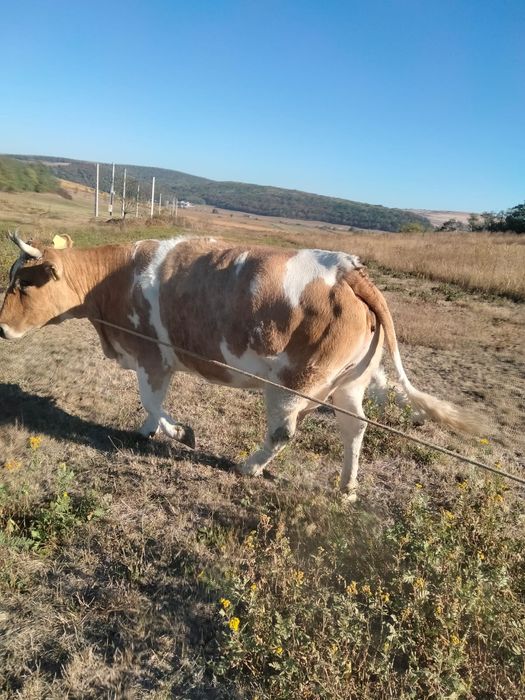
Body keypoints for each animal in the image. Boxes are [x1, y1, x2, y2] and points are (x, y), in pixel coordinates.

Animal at [0, 231, 477, 500]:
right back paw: (348, 488)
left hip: (292, 382)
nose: (1, 327)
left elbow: (152, 401)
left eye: (24, 282)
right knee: (354, 428)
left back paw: (250, 466)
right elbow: (149, 405)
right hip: (348, 383)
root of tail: (347, 269)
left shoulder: (152, 356)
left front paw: (179, 433)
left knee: (283, 432)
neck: (111, 279)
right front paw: (148, 430)